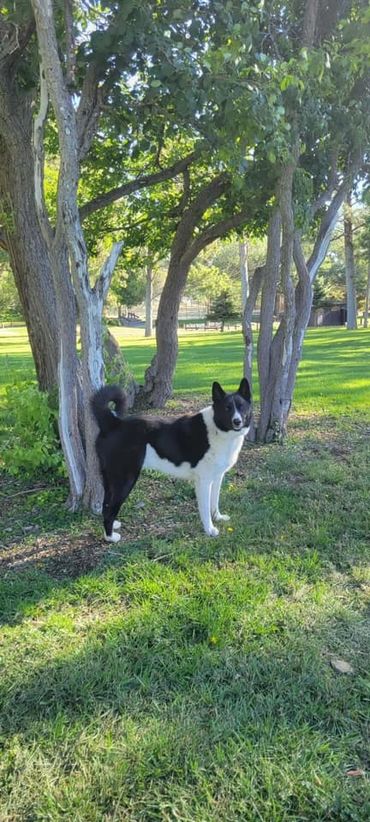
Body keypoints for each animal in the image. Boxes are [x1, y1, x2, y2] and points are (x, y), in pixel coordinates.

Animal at [91, 382, 251, 548]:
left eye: (241, 407)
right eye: (227, 408)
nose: (237, 421)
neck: (217, 429)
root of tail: (114, 423)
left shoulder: (217, 477)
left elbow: (214, 502)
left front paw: (218, 517)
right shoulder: (204, 481)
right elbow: (205, 509)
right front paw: (210, 530)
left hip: (110, 479)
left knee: (106, 506)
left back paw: (112, 526)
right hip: (125, 480)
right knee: (110, 510)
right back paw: (110, 537)